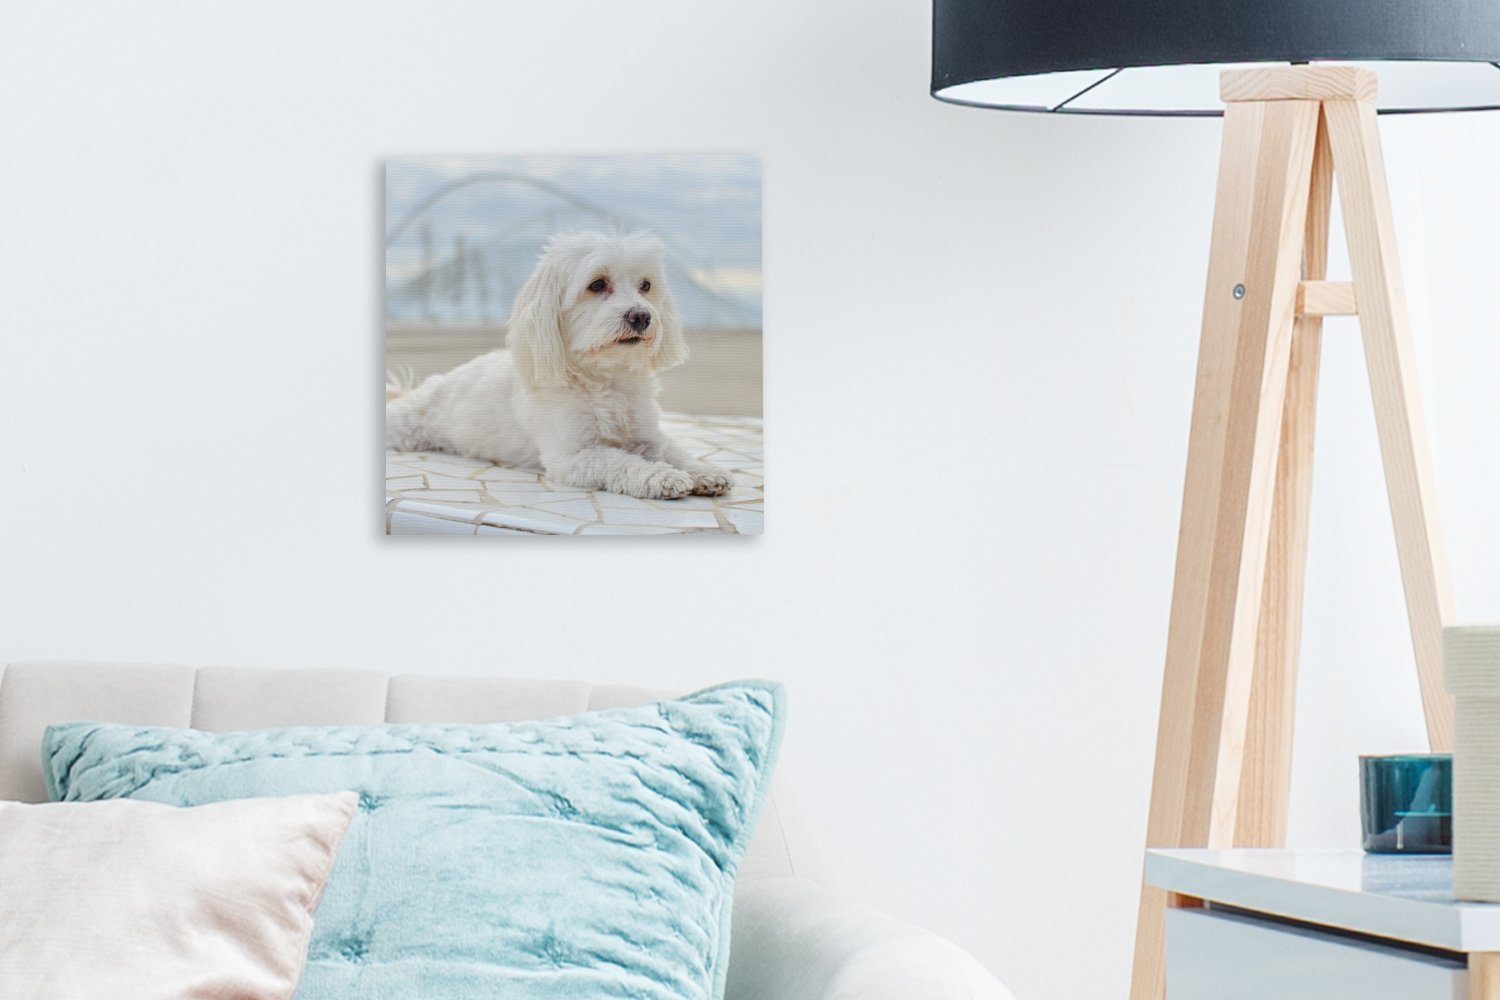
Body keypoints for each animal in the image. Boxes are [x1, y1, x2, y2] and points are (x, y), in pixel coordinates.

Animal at [387, 232, 732, 500]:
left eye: (646, 286)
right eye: (597, 285)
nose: (642, 316)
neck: (605, 379)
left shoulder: (646, 436)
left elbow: (675, 451)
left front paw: (703, 471)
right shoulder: (573, 456)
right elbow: (620, 462)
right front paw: (663, 477)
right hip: (404, 428)